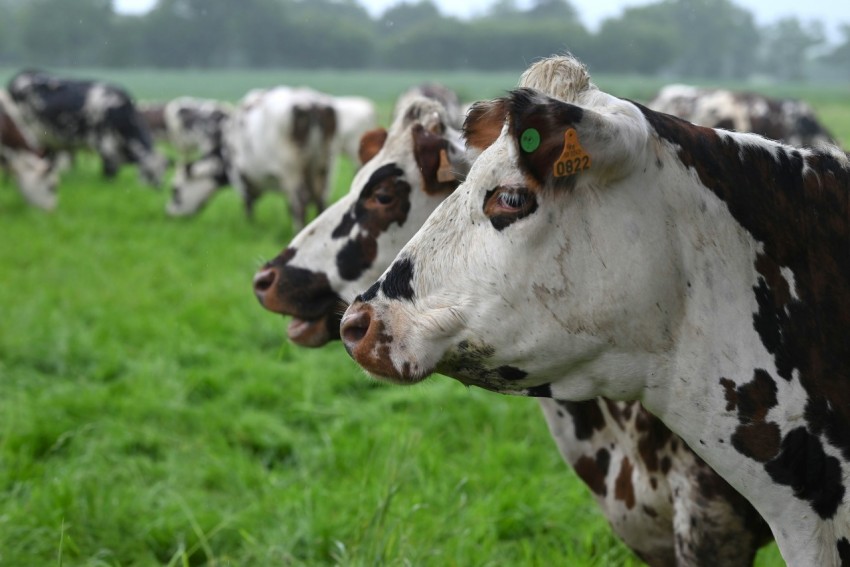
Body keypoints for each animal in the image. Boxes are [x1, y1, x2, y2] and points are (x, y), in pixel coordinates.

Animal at [7, 69, 168, 186]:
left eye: (162, 171)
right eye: (149, 173)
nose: (159, 187)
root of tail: (22, 75)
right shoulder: (105, 143)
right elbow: (109, 169)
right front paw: (108, 184)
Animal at [164, 86, 336, 229]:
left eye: (175, 190)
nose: (169, 214)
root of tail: (310, 103)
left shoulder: (240, 177)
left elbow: (248, 204)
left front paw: (249, 226)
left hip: (291, 171)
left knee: (300, 202)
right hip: (323, 169)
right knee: (321, 199)